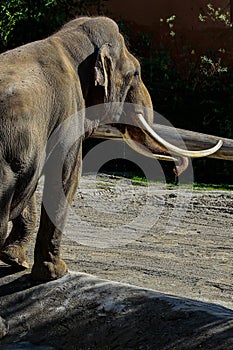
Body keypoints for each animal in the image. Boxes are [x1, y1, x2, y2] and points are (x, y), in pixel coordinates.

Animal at [0, 16, 222, 280]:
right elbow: (65, 177)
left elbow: (34, 182)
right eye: (135, 73)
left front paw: (15, 260)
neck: (66, 40)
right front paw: (57, 273)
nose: (178, 171)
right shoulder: (69, 114)